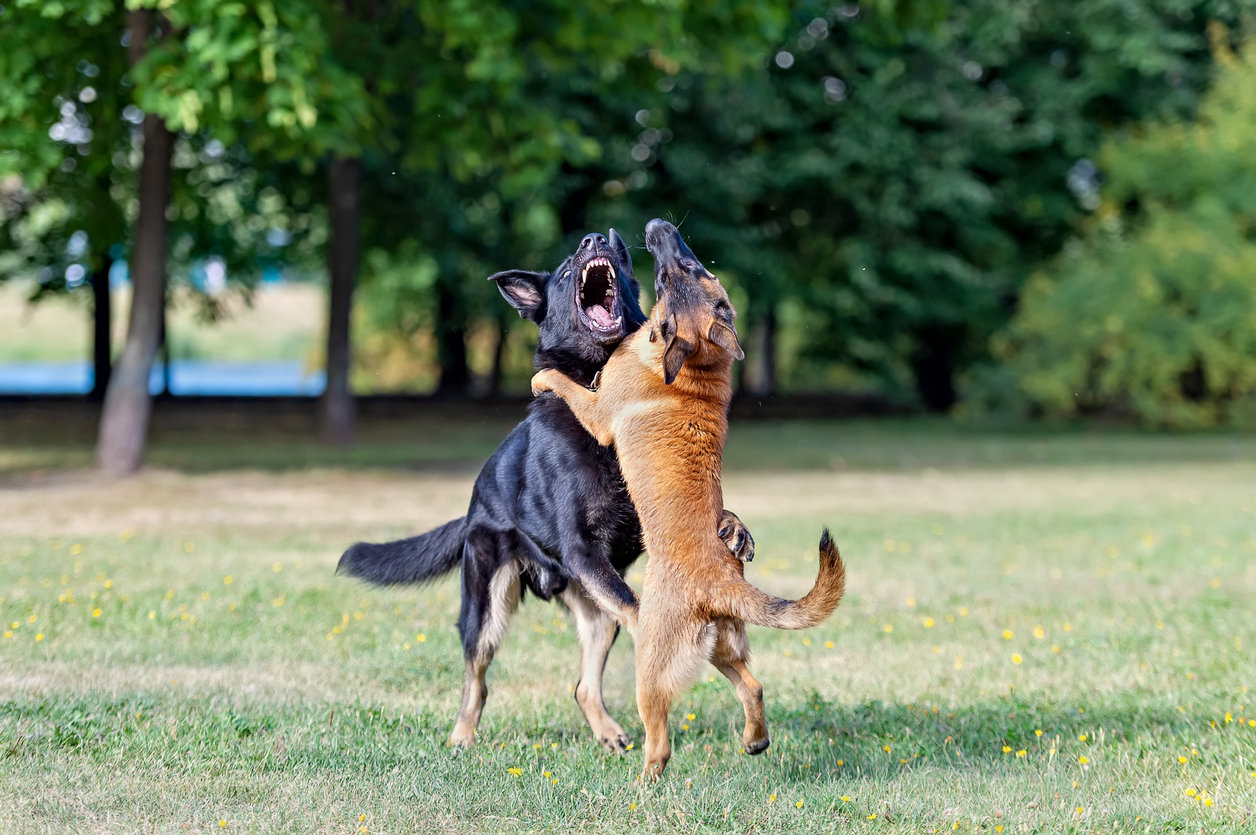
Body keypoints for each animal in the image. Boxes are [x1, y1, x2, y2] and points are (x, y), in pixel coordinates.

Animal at [339, 229, 753, 748]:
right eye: (565, 269)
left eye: (618, 259)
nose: (594, 237)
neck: (597, 379)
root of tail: (473, 506)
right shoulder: (580, 547)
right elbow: (639, 609)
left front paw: (733, 528)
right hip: (487, 607)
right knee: (476, 679)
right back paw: (462, 736)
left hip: (595, 610)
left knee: (583, 684)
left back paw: (608, 732)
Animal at [530, 218, 844, 778]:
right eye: (697, 269)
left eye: (682, 273)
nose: (657, 226)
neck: (697, 364)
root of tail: (722, 583)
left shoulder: (598, 412)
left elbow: (568, 385)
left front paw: (543, 376)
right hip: (722, 648)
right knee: (753, 687)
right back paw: (754, 741)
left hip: (652, 667)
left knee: (660, 742)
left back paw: (642, 782)